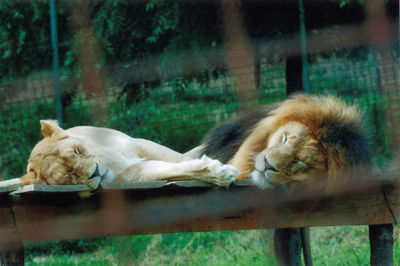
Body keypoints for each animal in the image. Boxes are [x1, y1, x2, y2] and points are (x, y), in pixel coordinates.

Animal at [20, 119, 239, 190]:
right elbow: (178, 169)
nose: (95, 172)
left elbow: (180, 159)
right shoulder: (135, 172)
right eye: (69, 175)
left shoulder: (140, 145)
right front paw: (219, 173)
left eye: (76, 150)